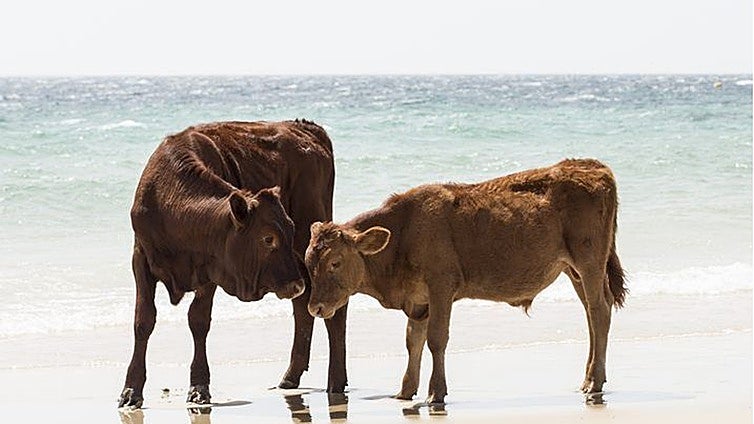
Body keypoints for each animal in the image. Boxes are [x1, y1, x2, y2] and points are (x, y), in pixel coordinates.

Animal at [118, 120, 348, 409]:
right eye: (268, 238)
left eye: (290, 229)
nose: (294, 284)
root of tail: (306, 128)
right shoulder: (141, 259)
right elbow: (143, 320)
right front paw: (131, 390)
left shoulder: (209, 270)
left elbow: (198, 320)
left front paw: (199, 386)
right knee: (303, 306)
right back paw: (290, 377)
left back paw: (336, 382)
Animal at [304, 158, 626, 404]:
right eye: (308, 263)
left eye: (335, 262)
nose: (315, 307)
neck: (404, 231)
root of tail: (591, 165)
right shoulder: (419, 300)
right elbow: (412, 340)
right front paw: (405, 391)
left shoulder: (441, 287)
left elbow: (436, 339)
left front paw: (435, 393)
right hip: (573, 270)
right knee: (590, 313)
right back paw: (588, 378)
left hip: (589, 262)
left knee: (599, 311)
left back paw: (594, 383)